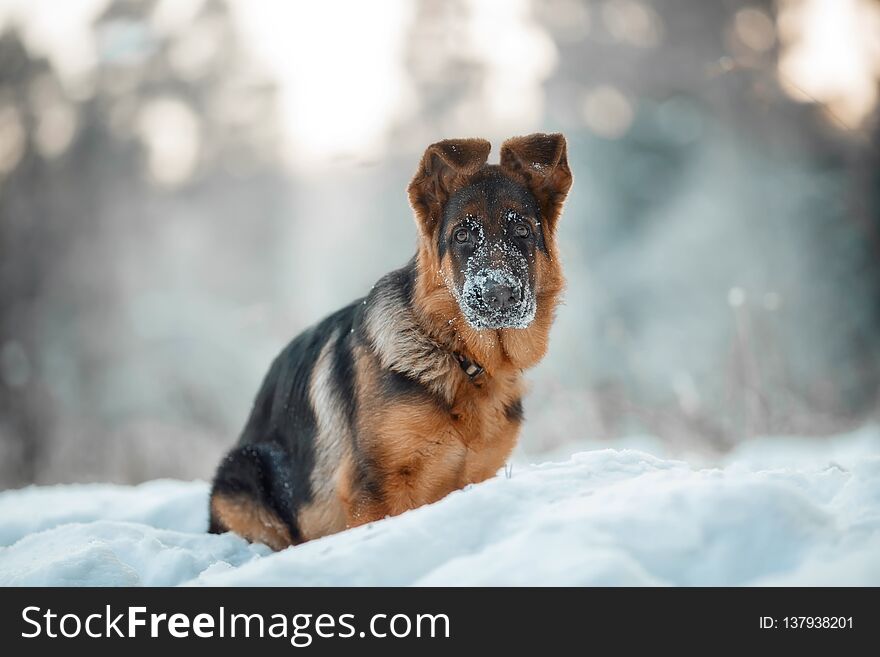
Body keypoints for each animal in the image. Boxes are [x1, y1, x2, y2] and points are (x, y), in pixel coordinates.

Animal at [206, 133, 572, 548]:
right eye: (462, 235)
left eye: (522, 231)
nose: (499, 295)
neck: (455, 356)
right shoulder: (375, 492)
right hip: (244, 468)